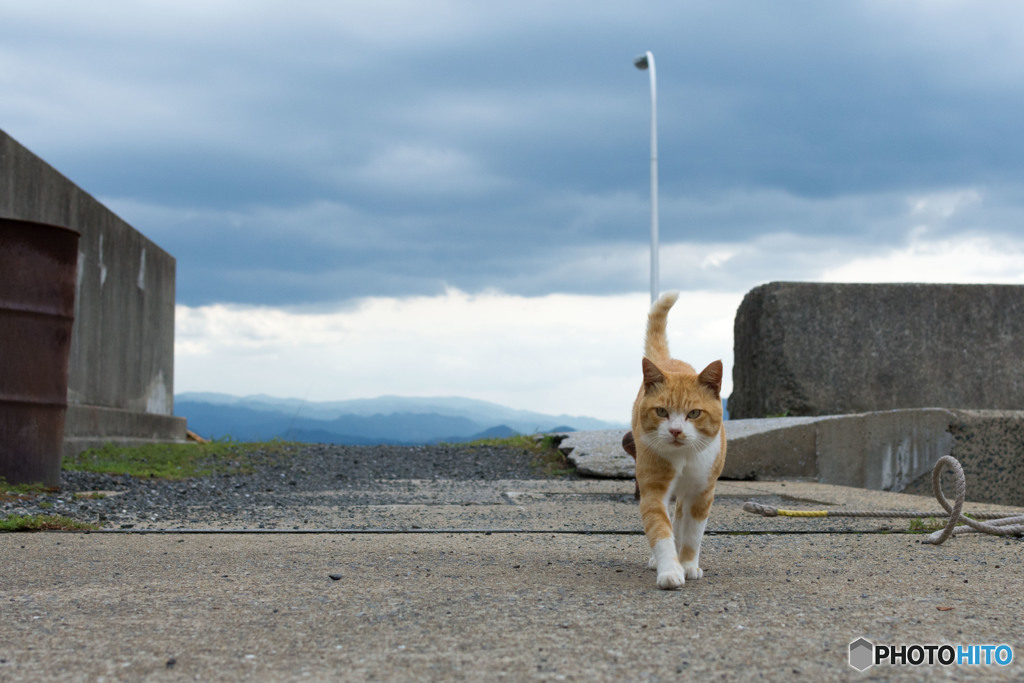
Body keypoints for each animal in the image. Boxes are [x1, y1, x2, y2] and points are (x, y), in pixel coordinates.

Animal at [626, 290, 724, 589]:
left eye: (694, 413)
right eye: (661, 412)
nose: (676, 430)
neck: (683, 457)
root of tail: (670, 362)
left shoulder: (702, 493)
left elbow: (692, 534)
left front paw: (689, 565)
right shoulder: (653, 490)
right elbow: (660, 531)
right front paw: (670, 569)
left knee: (680, 518)